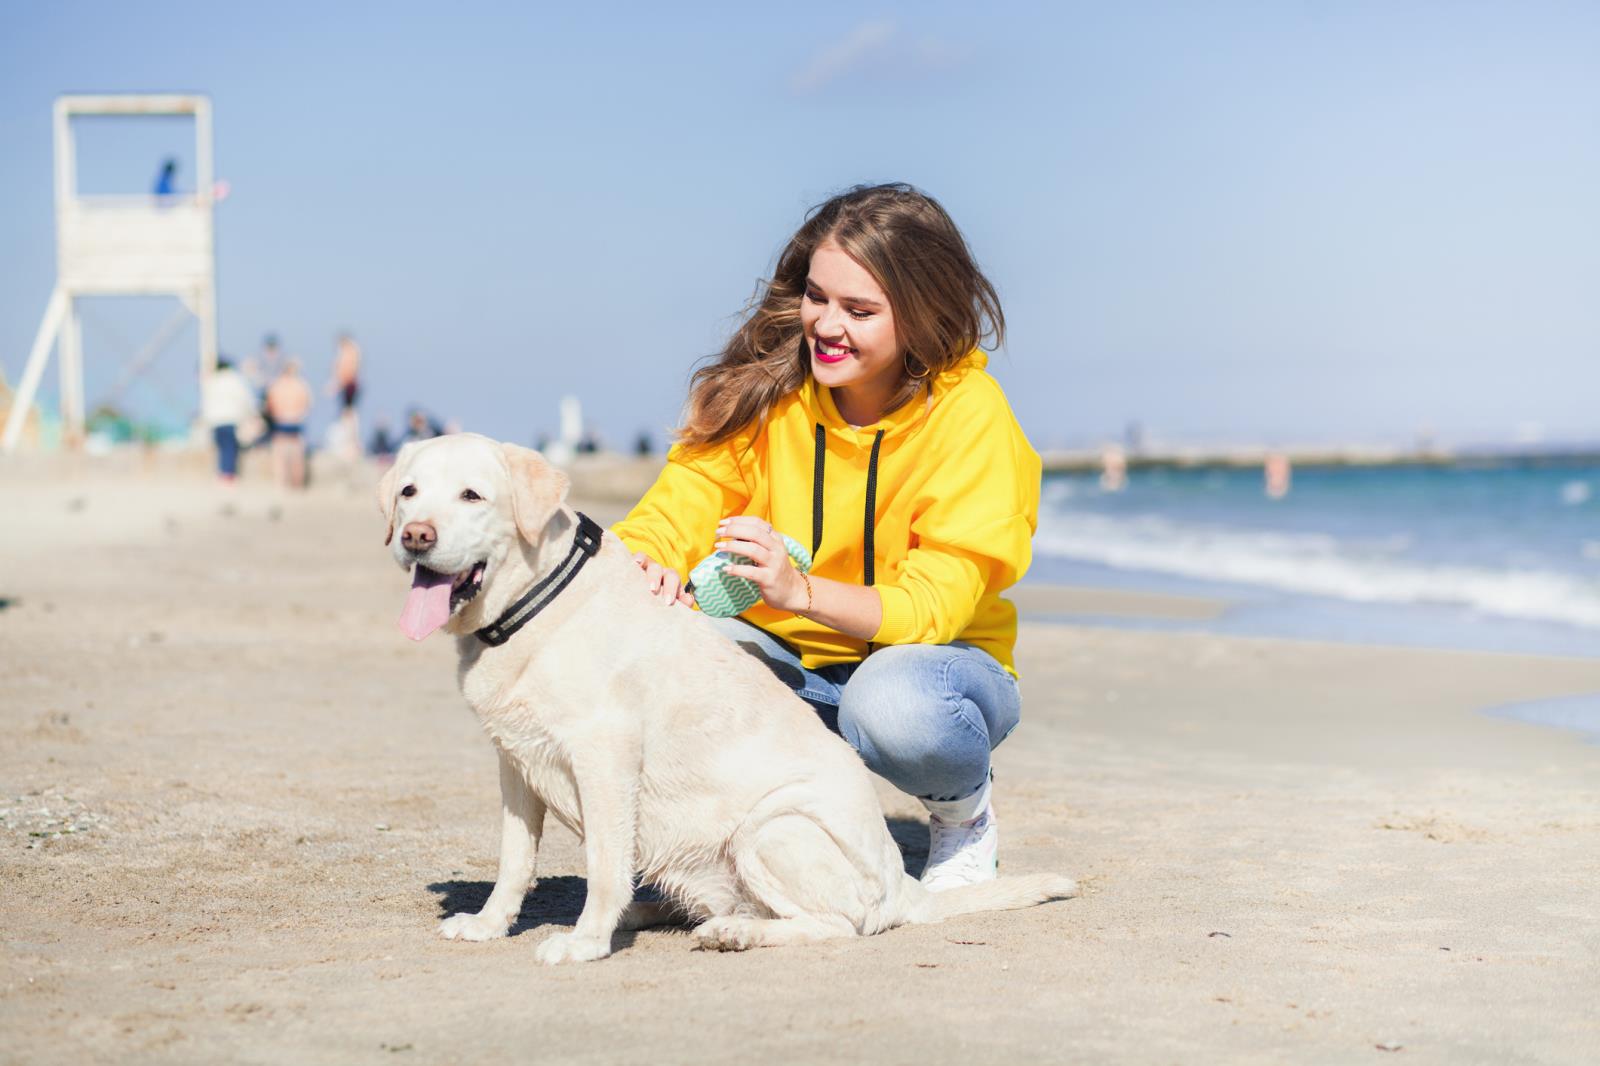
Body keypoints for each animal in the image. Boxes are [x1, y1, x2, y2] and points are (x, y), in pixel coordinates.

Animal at [376, 432, 1075, 960]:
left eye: (473, 495)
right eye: (409, 492)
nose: (414, 535)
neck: (534, 603)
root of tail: (905, 888)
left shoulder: (605, 757)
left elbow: (603, 863)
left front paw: (585, 942)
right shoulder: (515, 761)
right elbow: (515, 860)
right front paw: (489, 925)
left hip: (772, 828)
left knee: (841, 923)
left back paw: (735, 931)